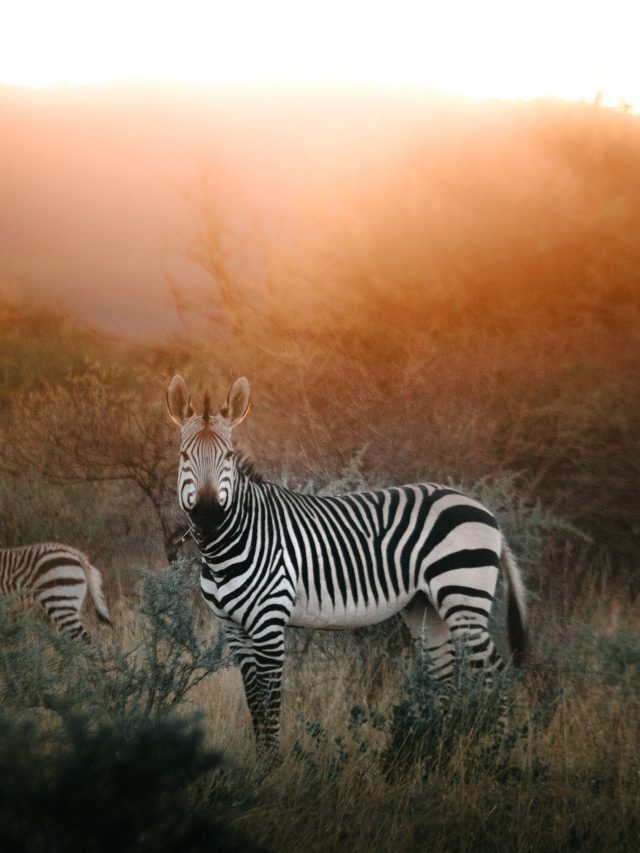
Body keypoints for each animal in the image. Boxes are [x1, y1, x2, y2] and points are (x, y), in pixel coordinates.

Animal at [167, 374, 527, 759]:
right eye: (183, 456)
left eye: (229, 457)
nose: (208, 515)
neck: (229, 545)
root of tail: (483, 510)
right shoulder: (234, 629)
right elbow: (254, 701)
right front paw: (261, 760)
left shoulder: (269, 622)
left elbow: (270, 699)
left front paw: (272, 765)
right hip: (425, 606)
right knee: (443, 672)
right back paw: (437, 747)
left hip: (463, 597)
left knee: (494, 671)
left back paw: (498, 752)